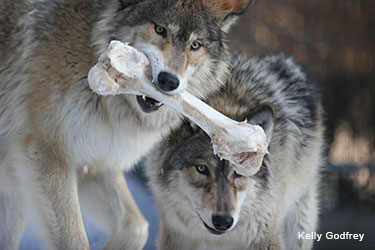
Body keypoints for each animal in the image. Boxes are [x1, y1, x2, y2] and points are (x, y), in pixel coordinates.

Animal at [0, 0, 254, 250]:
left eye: (195, 45)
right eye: (159, 29)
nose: (169, 80)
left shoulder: (95, 159)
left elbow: (136, 228)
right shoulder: (48, 154)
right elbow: (76, 240)